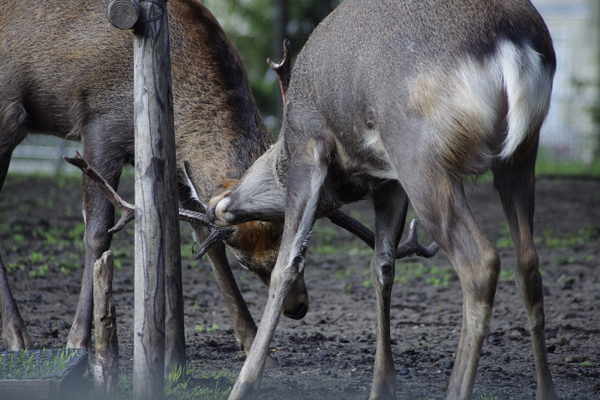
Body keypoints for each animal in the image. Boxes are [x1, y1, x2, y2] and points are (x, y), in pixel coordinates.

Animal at [0, 0, 436, 360]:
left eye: (300, 248)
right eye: (249, 264)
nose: (297, 308)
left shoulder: (174, 168)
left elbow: (202, 244)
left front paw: (249, 340)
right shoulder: (100, 127)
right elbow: (97, 236)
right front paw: (78, 340)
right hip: (9, 112)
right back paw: (19, 336)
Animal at [209, 0, 560, 400]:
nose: (218, 205)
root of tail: (513, 45)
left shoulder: (308, 147)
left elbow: (286, 267)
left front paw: (244, 384)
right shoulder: (387, 180)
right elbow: (382, 267)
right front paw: (382, 384)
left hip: (419, 153)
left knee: (481, 262)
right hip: (521, 154)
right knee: (528, 263)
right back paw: (546, 390)